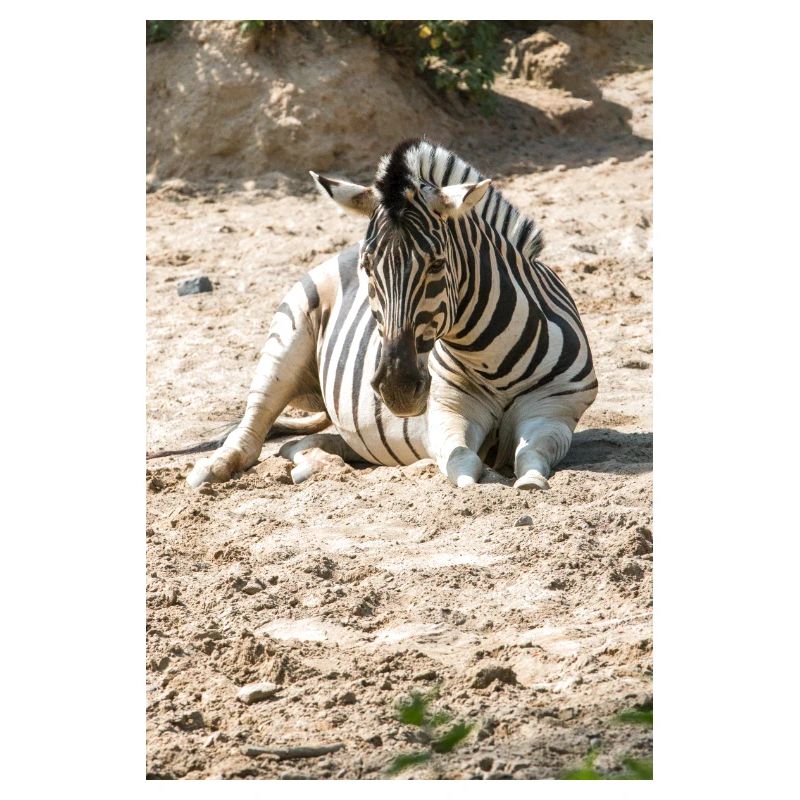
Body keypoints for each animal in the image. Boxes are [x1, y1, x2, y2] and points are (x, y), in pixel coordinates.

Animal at [185, 138, 597, 490]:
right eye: (368, 267)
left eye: (437, 264)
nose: (396, 388)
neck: (488, 357)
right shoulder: (447, 411)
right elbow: (463, 462)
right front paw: (482, 479)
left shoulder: (555, 410)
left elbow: (531, 454)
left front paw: (529, 481)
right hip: (286, 340)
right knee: (254, 424)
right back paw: (211, 469)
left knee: (302, 444)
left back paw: (315, 465)